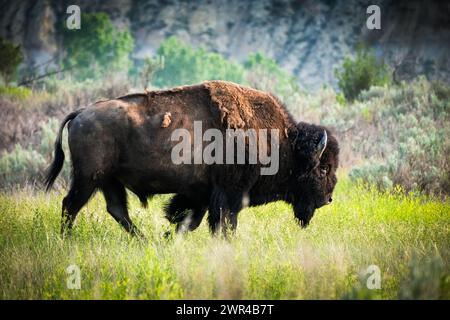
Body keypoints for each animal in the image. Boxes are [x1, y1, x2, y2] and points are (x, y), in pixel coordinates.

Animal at [45, 80, 340, 238]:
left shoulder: (201, 193)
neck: (282, 142)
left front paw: (169, 237)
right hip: (88, 178)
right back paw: (66, 239)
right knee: (71, 205)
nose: (328, 199)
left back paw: (144, 240)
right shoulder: (228, 194)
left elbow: (189, 219)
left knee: (117, 210)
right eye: (323, 168)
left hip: (109, 181)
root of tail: (82, 112)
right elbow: (224, 223)